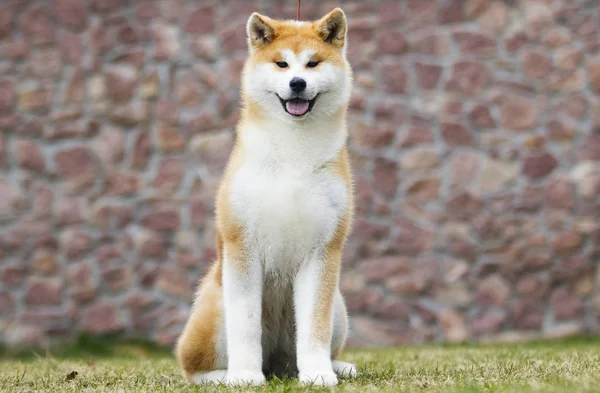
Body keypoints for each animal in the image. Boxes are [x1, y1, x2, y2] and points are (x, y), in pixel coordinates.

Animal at [175, 6, 356, 386]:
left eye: (312, 63)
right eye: (282, 64)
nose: (297, 83)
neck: (294, 155)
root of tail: (274, 364)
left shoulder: (323, 252)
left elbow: (314, 329)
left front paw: (318, 374)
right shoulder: (242, 245)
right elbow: (245, 326)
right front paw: (245, 376)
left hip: (339, 307)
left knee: (297, 358)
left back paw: (335, 367)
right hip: (215, 308)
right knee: (193, 367)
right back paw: (224, 376)